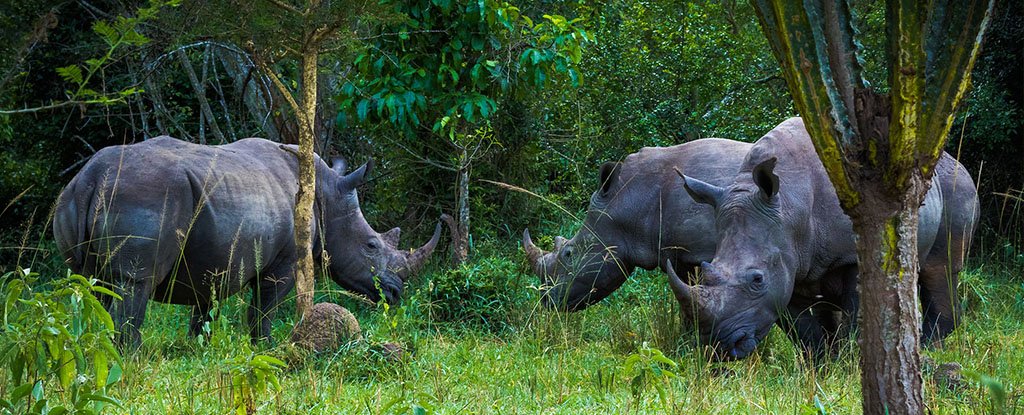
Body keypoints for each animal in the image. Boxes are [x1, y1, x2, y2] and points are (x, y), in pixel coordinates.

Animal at [53, 136, 441, 346]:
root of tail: (91, 177)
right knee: (133, 283)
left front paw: (199, 349)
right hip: (146, 192)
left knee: (91, 284)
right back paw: (129, 356)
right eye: (371, 246)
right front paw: (265, 348)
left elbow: (204, 308)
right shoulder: (283, 263)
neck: (327, 193)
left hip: (73, 196)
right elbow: (262, 309)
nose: (395, 292)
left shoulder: (210, 258)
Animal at [673, 117, 979, 360]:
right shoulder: (790, 265)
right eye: (707, 270)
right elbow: (806, 332)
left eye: (757, 279)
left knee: (940, 268)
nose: (721, 344)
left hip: (958, 190)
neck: (789, 206)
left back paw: (931, 350)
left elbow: (859, 316)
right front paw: (822, 367)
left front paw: (852, 364)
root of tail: (958, 163)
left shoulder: (851, 256)